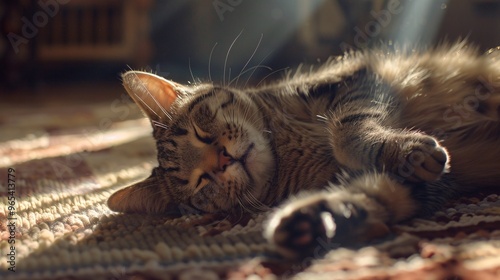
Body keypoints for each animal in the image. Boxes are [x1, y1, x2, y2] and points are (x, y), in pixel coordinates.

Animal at [108, 42, 500, 260]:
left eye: (200, 134)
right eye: (199, 182)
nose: (223, 160)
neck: (286, 151)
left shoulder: (356, 81)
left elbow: (348, 129)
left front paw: (401, 147)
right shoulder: (417, 184)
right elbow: (369, 195)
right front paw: (313, 220)